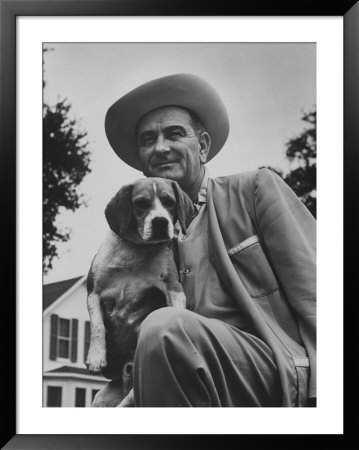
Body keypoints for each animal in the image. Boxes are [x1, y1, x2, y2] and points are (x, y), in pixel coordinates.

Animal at [86, 177, 194, 404]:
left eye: (169, 202)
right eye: (141, 203)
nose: (161, 222)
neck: (135, 250)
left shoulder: (173, 287)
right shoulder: (94, 292)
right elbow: (98, 327)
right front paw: (96, 358)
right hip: (100, 398)